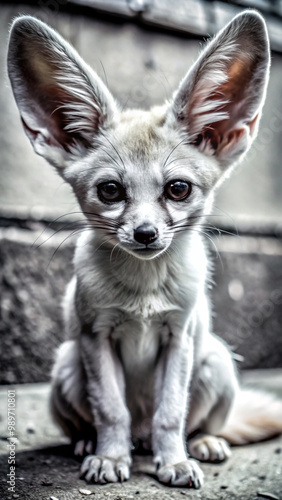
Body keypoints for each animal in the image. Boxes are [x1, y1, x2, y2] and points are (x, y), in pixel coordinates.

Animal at [7, 10, 282, 488]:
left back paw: (201, 444)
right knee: (109, 424)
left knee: (187, 425)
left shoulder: (179, 337)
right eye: (110, 190)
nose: (146, 234)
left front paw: (174, 462)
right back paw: (93, 444)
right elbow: (111, 410)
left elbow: (170, 414)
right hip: (67, 364)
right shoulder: (96, 337)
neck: (144, 291)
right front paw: (109, 458)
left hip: (215, 359)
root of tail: (141, 438)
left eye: (178, 189)